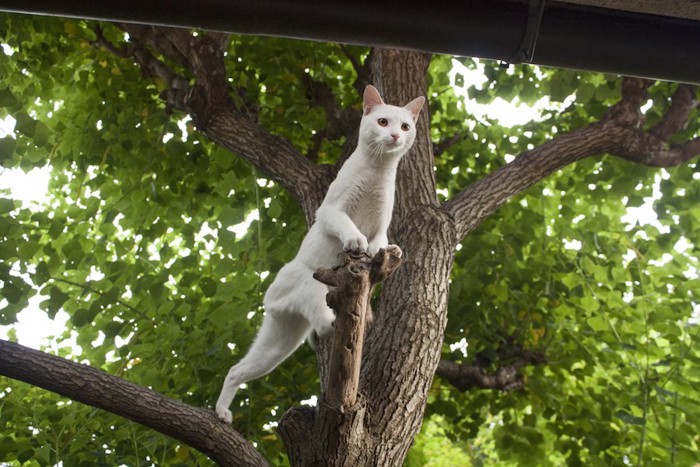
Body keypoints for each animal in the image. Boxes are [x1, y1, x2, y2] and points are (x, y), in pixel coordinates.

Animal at [216, 84, 424, 424]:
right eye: (382, 122)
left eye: (405, 126)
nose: (395, 135)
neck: (377, 171)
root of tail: (272, 299)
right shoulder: (329, 211)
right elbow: (347, 226)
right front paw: (355, 241)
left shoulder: (382, 224)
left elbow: (380, 242)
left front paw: (385, 251)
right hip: (309, 286)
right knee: (322, 321)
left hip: (279, 345)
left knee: (237, 369)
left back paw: (221, 412)